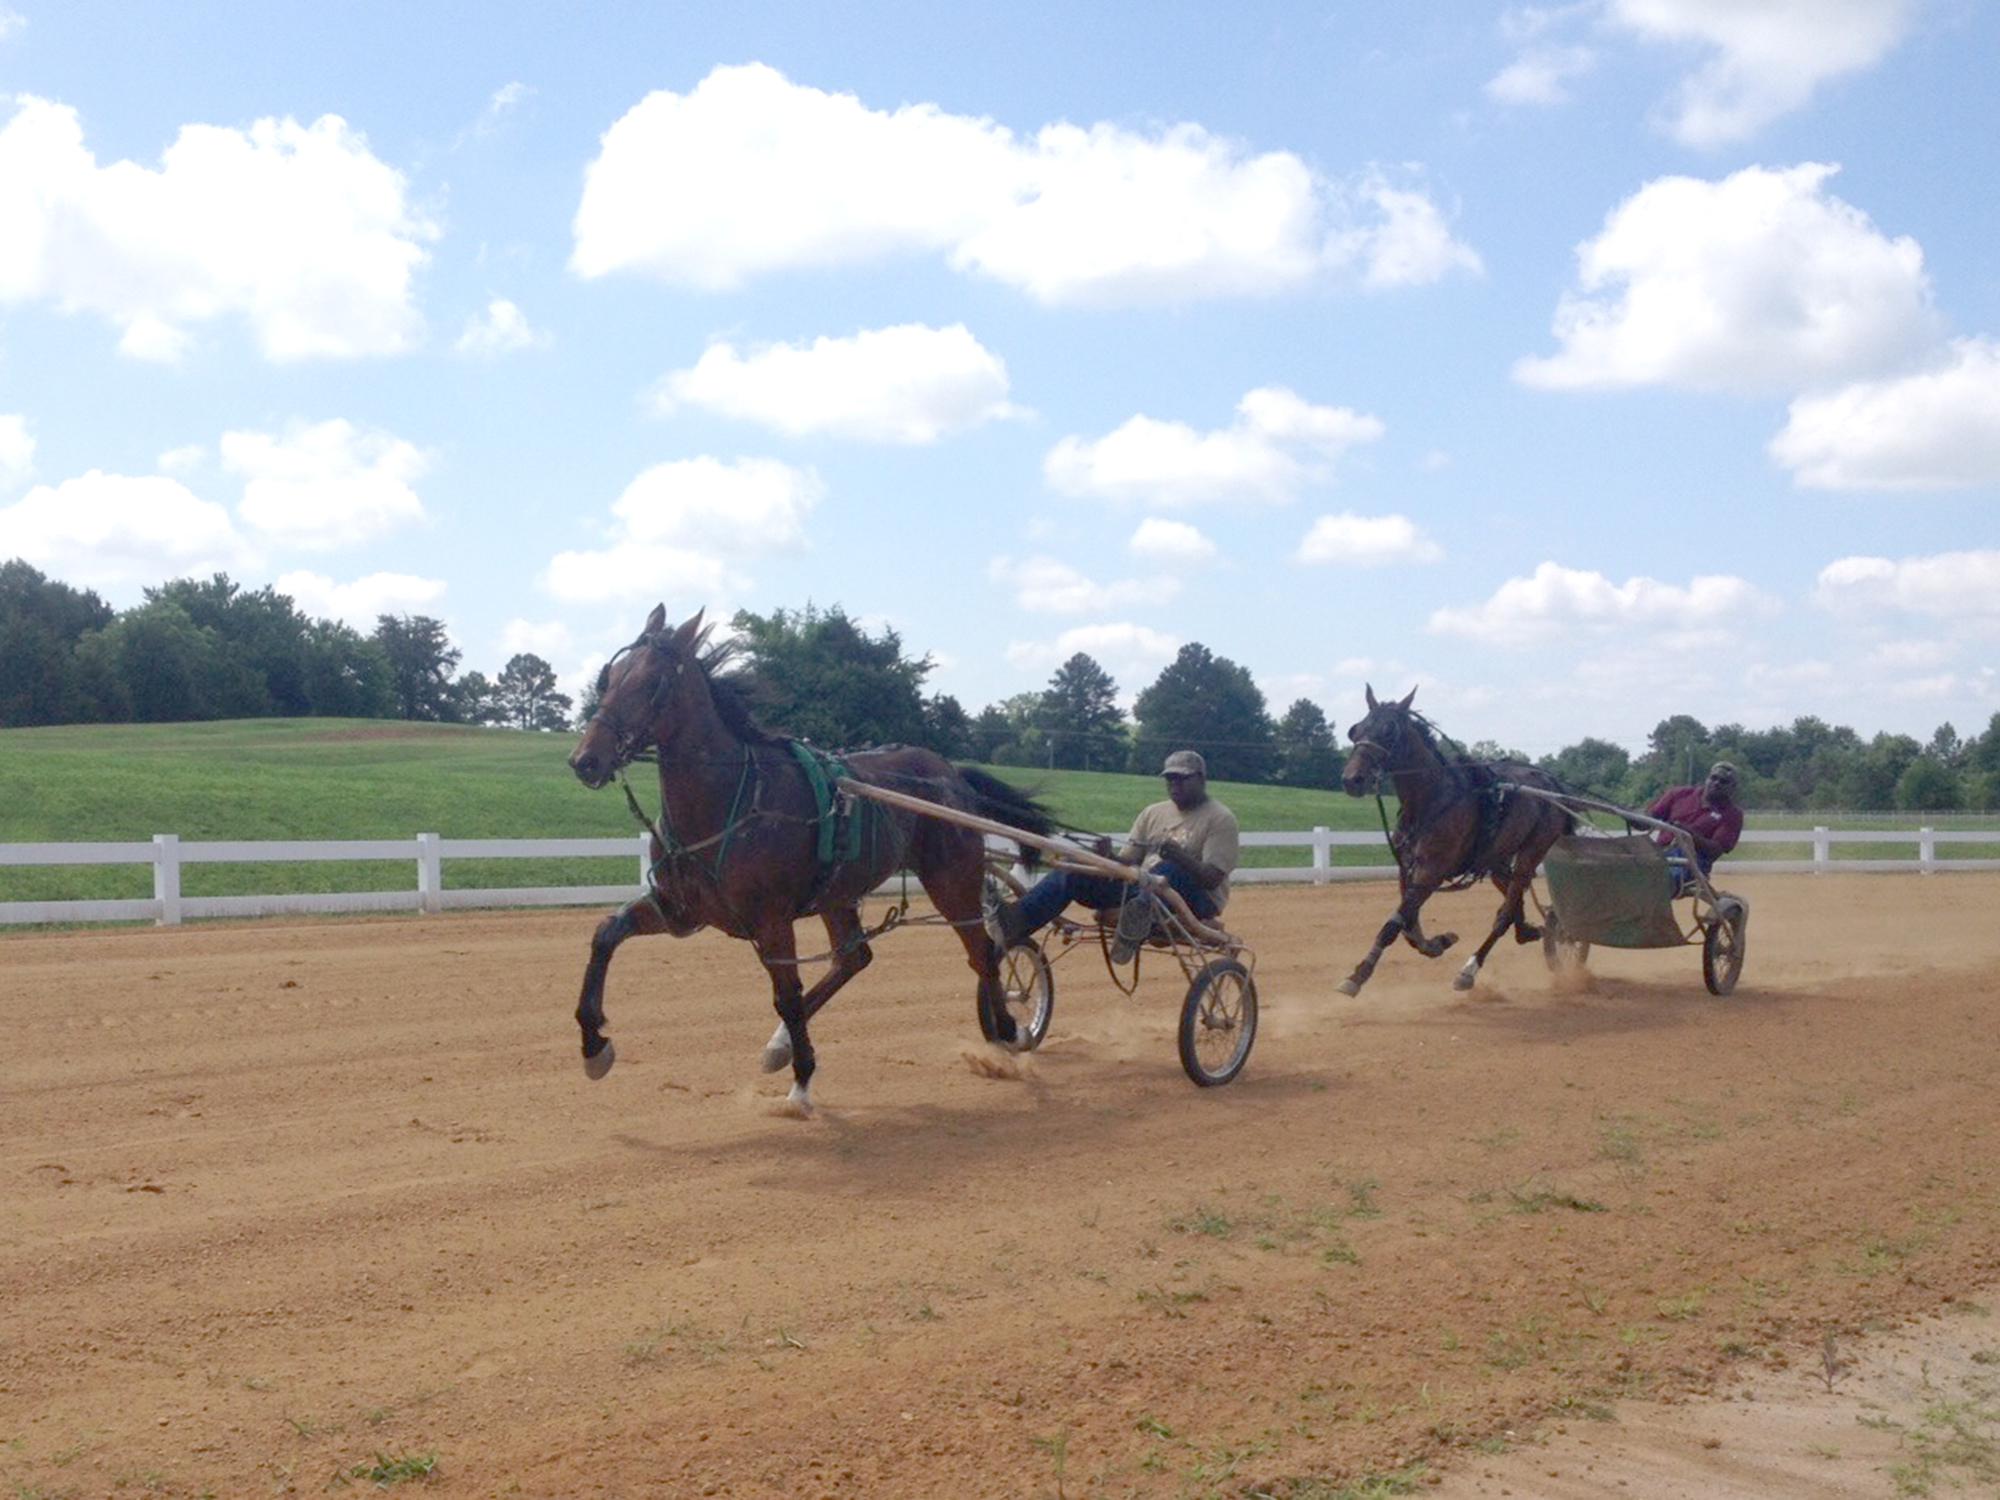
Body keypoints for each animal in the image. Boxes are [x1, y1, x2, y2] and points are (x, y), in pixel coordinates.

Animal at [568, 604, 1056, 1120]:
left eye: (651, 682)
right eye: (611, 676)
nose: (586, 759)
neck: (729, 800)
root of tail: (950, 773)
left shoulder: (771, 922)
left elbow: (787, 995)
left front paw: (802, 1083)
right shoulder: (679, 910)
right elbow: (606, 934)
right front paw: (594, 1045)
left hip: (952, 878)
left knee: (983, 952)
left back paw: (1008, 1032)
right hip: (839, 892)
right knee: (855, 957)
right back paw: (779, 1045)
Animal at [1336, 692, 1568, 1000]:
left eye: (1389, 731)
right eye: (1356, 729)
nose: (1352, 779)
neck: (1430, 800)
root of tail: (1551, 783)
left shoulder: (1432, 871)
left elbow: (1393, 925)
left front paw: (1358, 975)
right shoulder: (1407, 868)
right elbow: (1409, 925)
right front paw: (1439, 942)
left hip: (1533, 850)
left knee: (1505, 913)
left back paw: (1469, 969)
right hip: (1497, 858)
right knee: (1512, 896)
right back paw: (1532, 931)